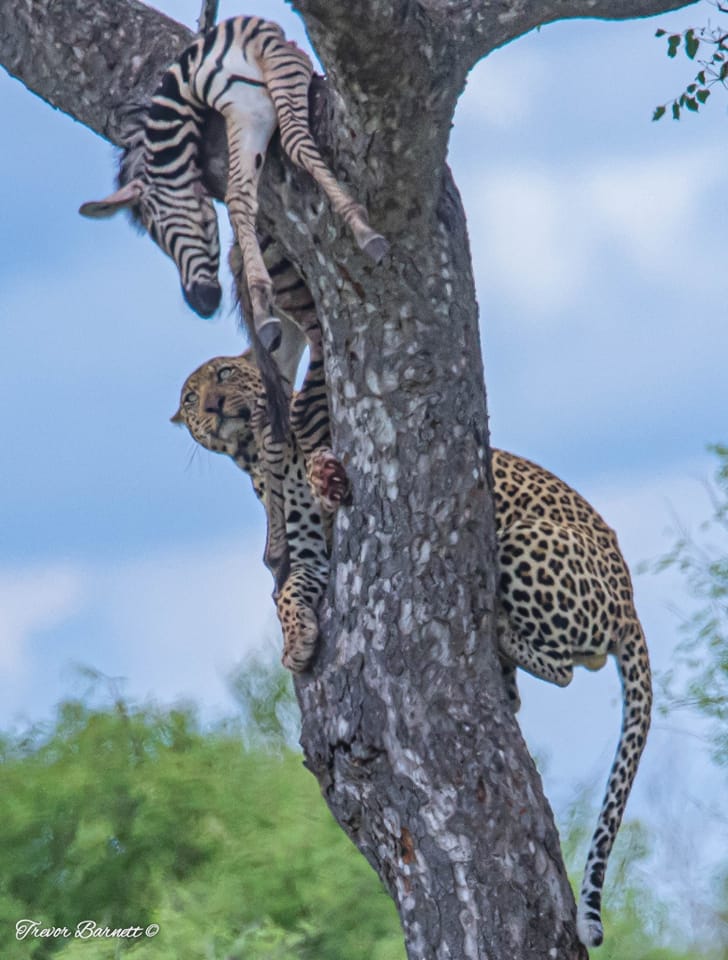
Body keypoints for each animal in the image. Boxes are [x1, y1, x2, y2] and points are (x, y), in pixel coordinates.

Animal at [80, 15, 388, 340]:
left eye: (156, 230)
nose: (201, 304)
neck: (188, 78)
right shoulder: (250, 109)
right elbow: (238, 198)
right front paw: (263, 304)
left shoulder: (279, 65)